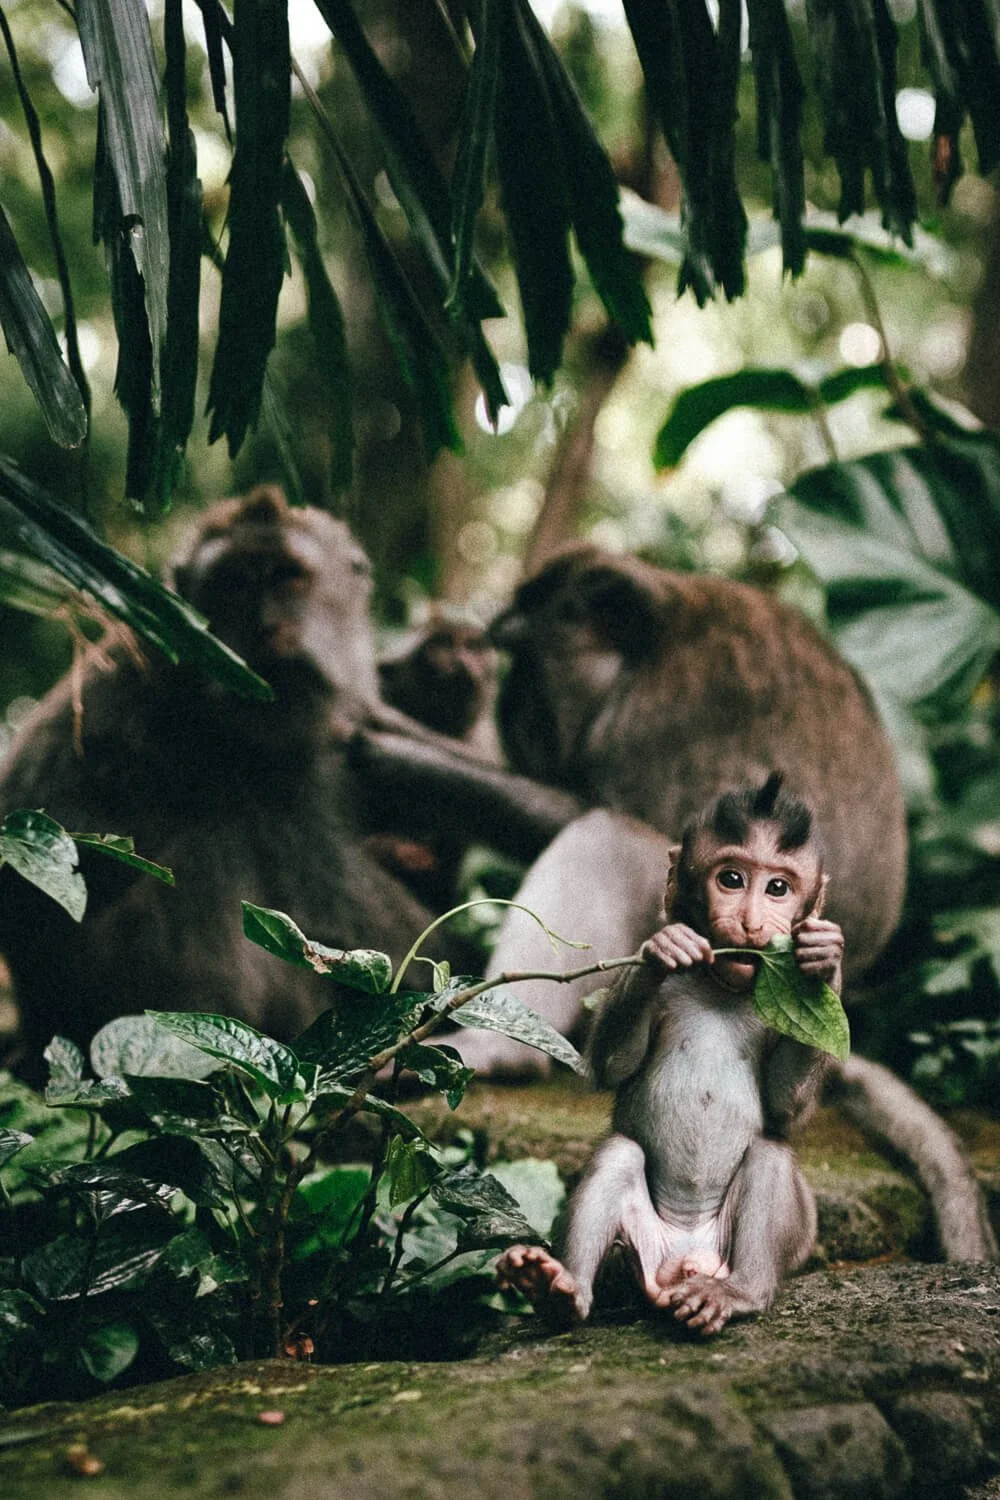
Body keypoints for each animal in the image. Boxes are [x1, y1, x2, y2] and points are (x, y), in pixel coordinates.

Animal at [497, 775, 841, 1335]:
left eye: (778, 888)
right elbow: (610, 1066)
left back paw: (739, 1293)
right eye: (731, 879)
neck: (721, 984)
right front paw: (662, 950)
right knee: (619, 1153)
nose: (750, 923)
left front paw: (826, 960)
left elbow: (785, 1107)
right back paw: (559, 1290)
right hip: (643, 1245)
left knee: (768, 1155)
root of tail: (685, 1261)